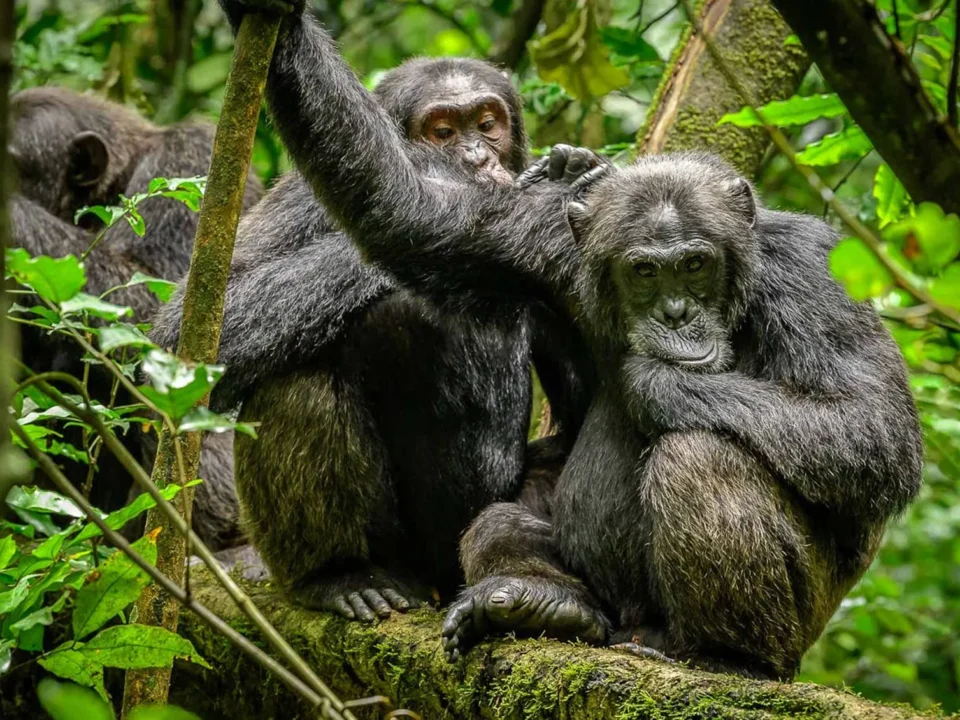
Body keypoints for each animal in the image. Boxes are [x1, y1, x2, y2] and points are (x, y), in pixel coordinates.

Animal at [216, 0, 924, 679]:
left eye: (696, 264)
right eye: (644, 271)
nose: (676, 313)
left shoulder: (815, 276)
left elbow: (870, 427)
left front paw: (655, 380)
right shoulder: (546, 242)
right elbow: (406, 211)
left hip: (797, 625)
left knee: (701, 456)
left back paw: (728, 657)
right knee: (489, 516)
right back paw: (517, 599)